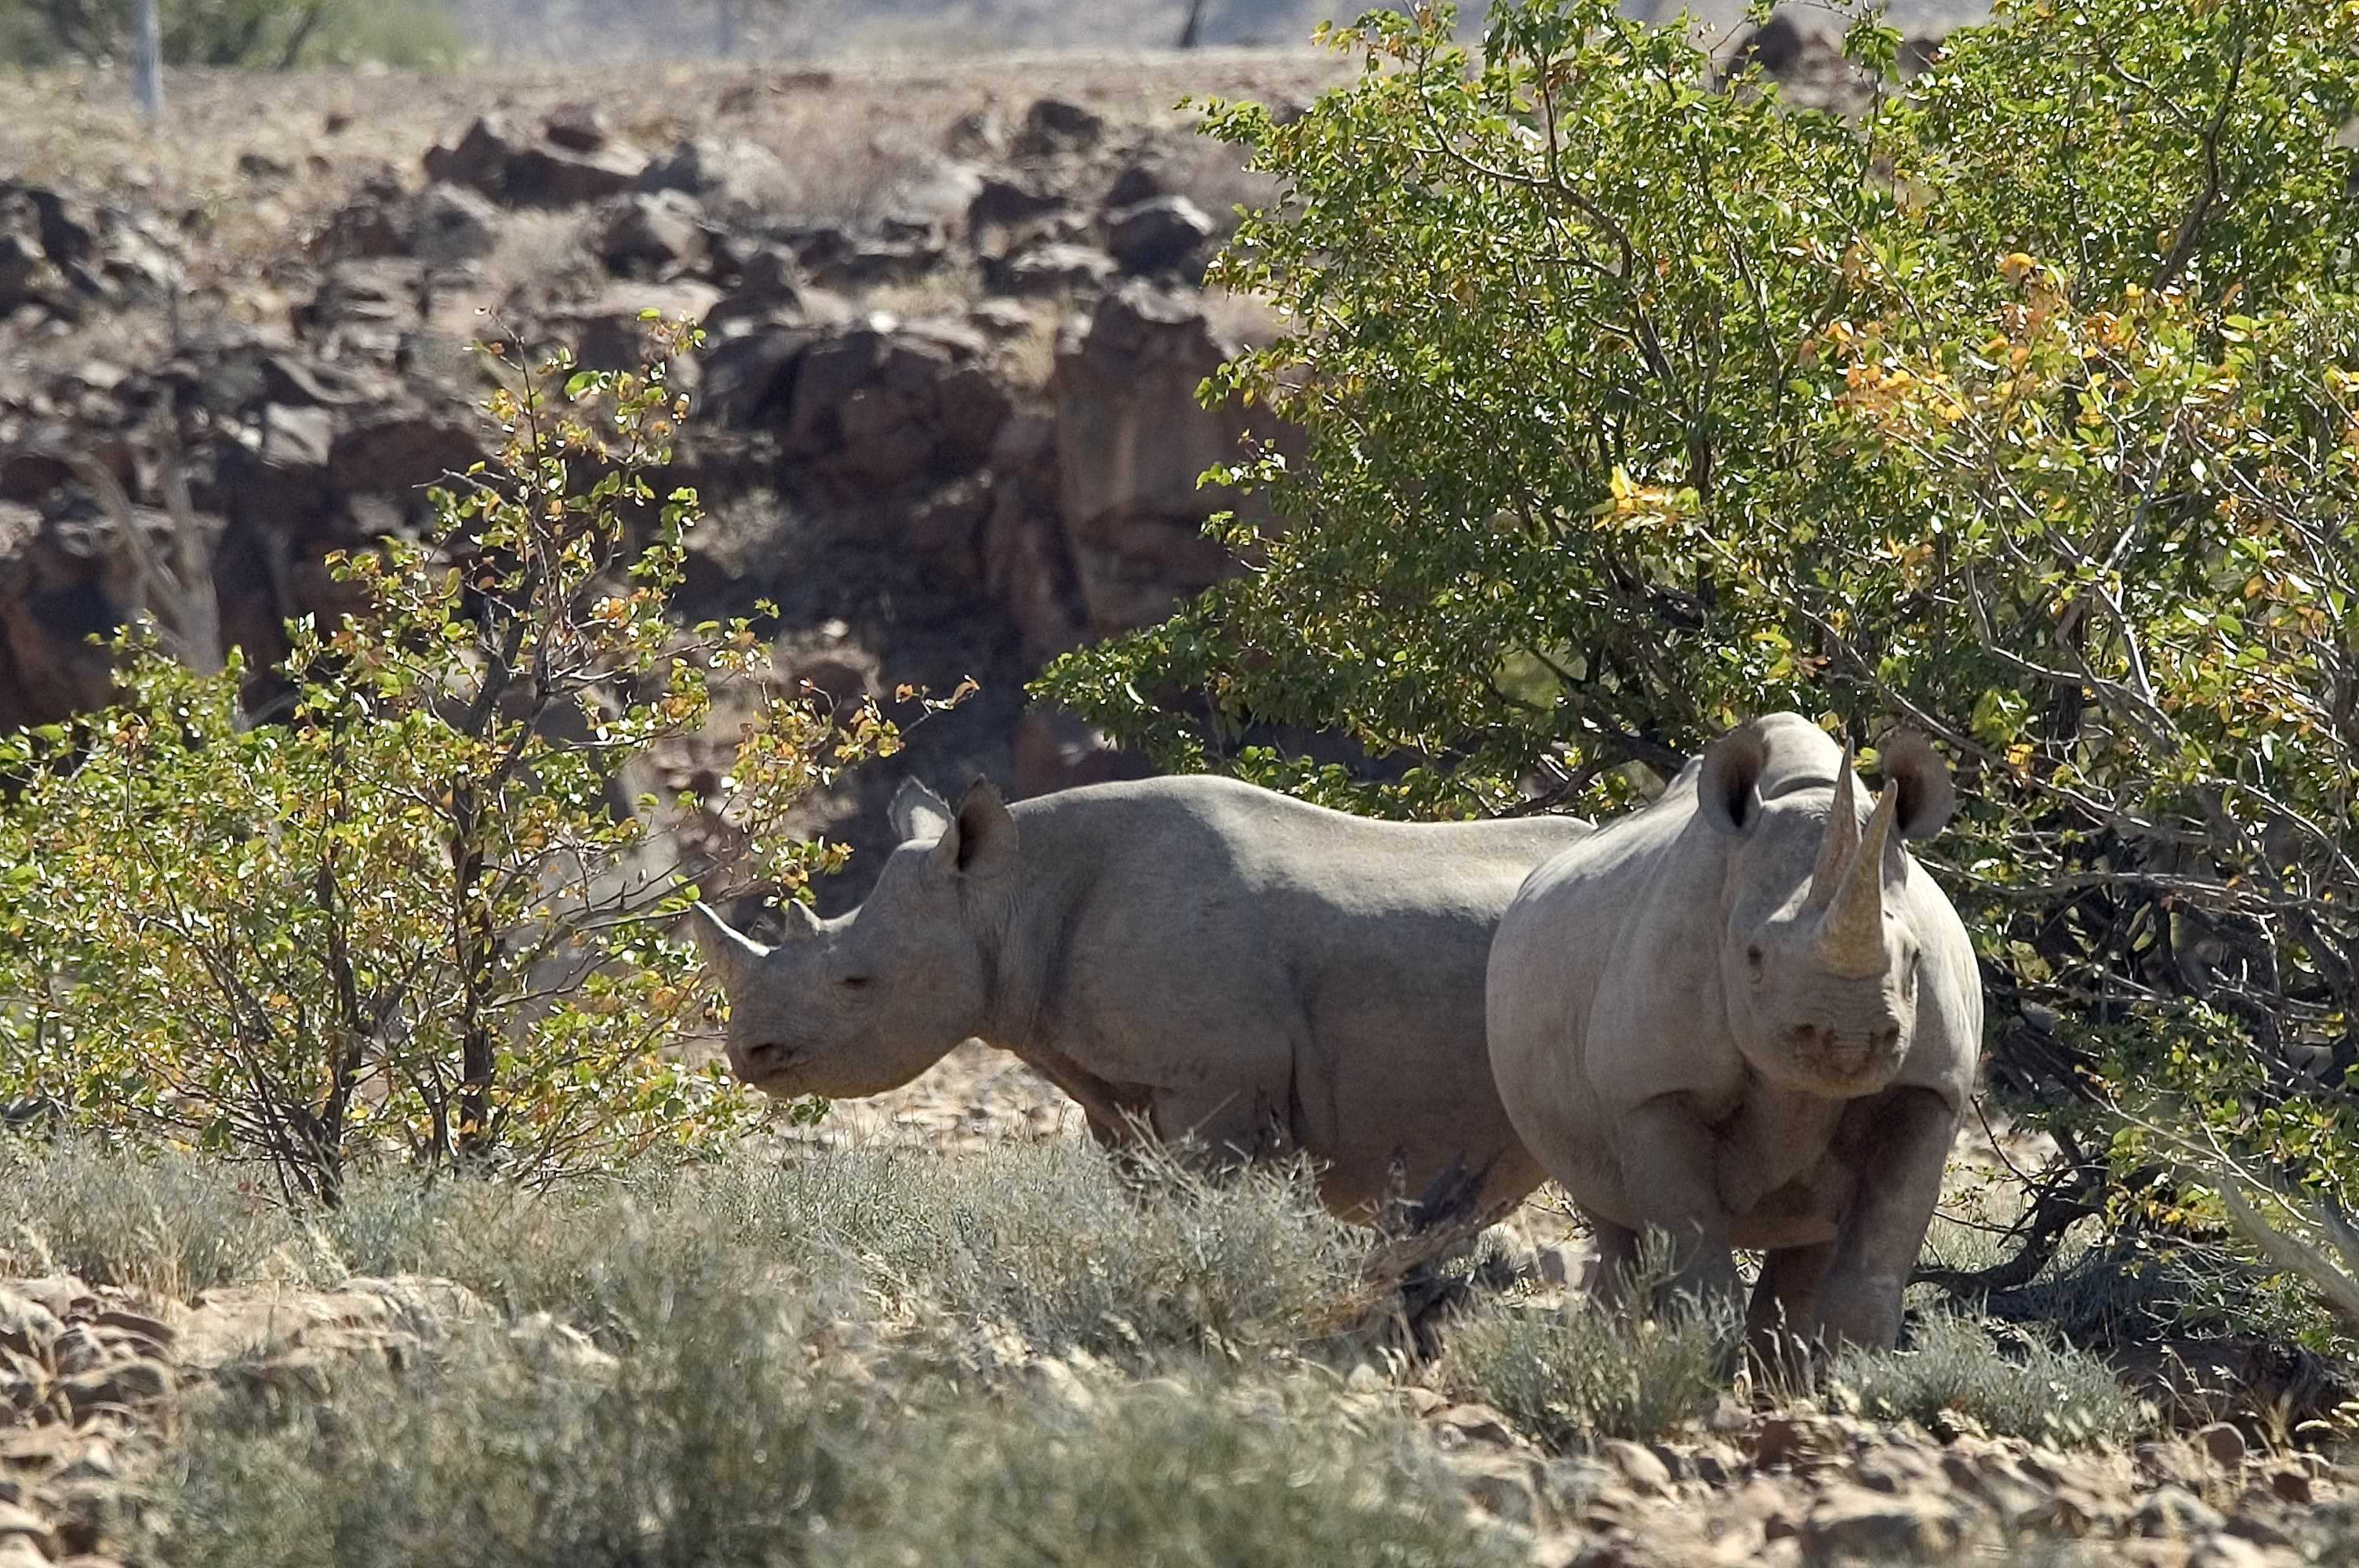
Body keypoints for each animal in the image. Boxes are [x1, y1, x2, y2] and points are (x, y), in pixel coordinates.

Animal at [693, 773, 1594, 1218]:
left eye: (856, 980)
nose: (748, 1054)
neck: (1007, 895)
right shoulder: (1117, 1083)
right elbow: (1146, 1195)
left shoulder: (1214, 1081)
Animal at [1486, 713, 1981, 1350]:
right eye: (1754, 957)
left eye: (1916, 957)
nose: (1847, 1040)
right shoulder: (1654, 1088)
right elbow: (1701, 1285)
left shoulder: (1930, 1087)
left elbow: (1869, 1281)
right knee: (1611, 1219)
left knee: (1808, 1244)